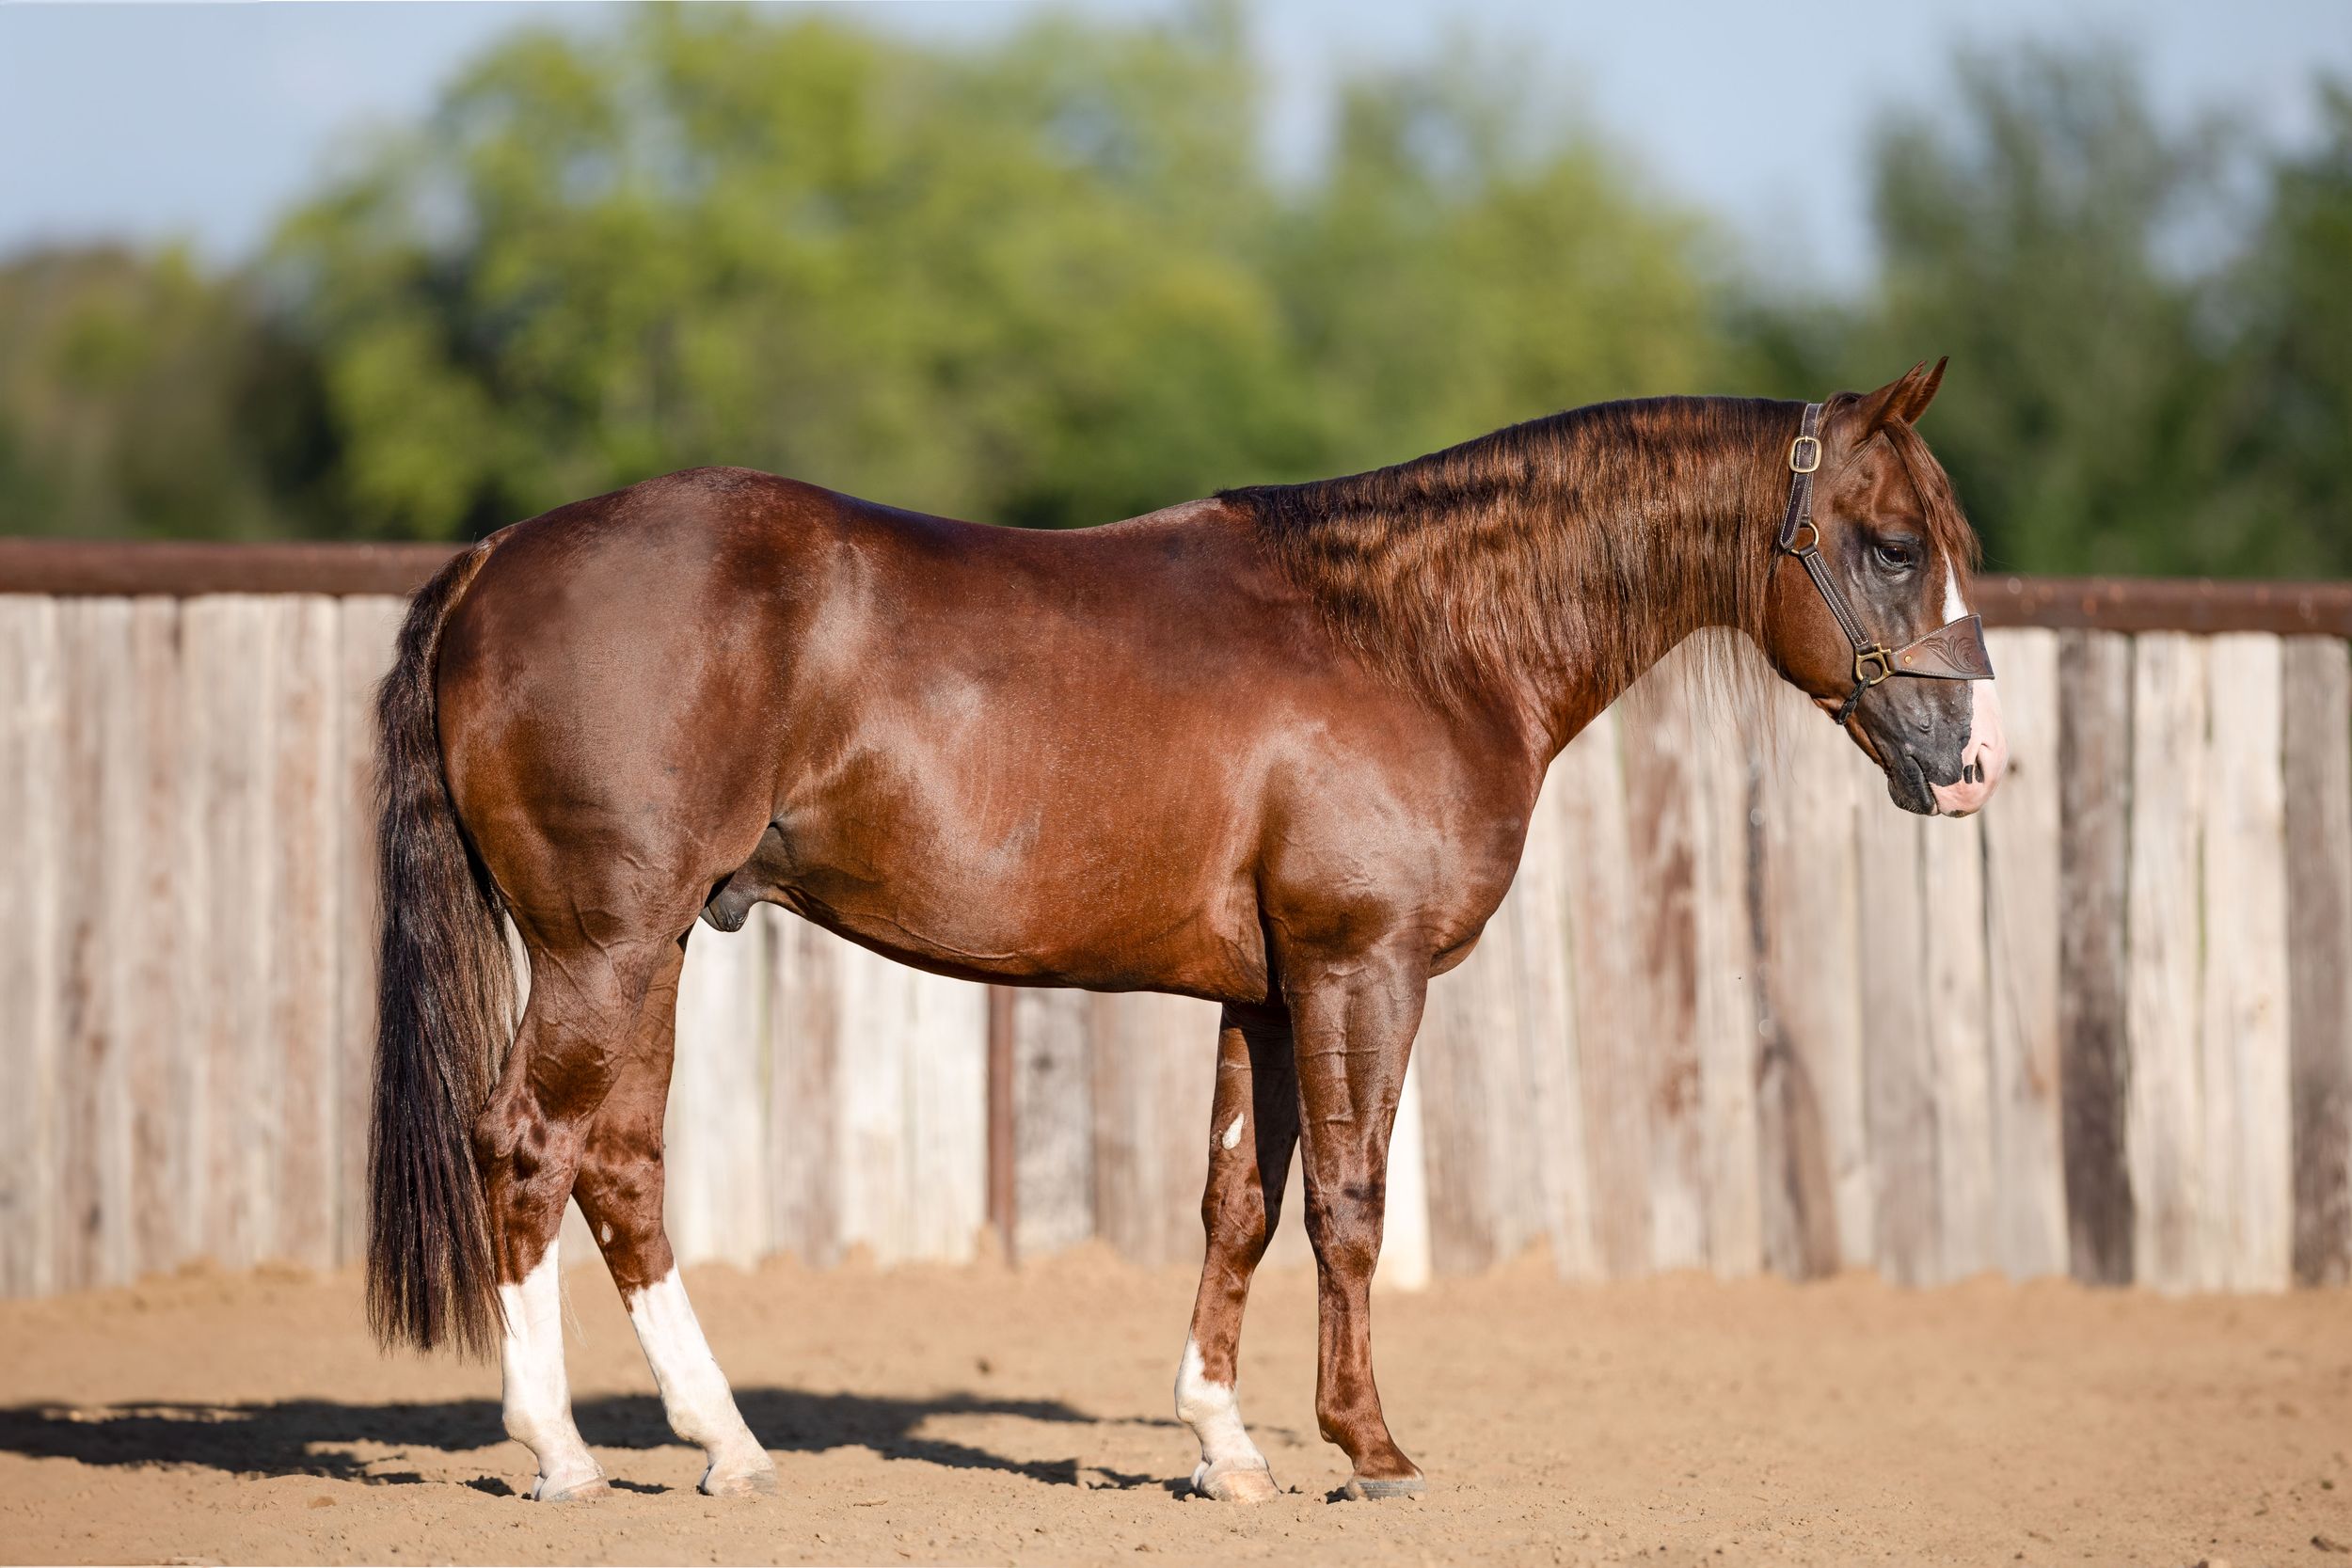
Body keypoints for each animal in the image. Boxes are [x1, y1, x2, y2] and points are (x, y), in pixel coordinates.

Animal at [366, 360, 2004, 1505]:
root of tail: (497, 557)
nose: (1976, 760)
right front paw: (1369, 1447)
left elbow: (1240, 1204)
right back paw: (562, 1451)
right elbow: (1350, 1199)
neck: (1413, 634)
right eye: (1888, 543)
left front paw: (1227, 1445)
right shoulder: (1361, 967)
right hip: (604, 944)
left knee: (620, 1165)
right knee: (528, 1142)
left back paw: (727, 1441)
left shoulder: (1268, 994)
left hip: (645, 950)